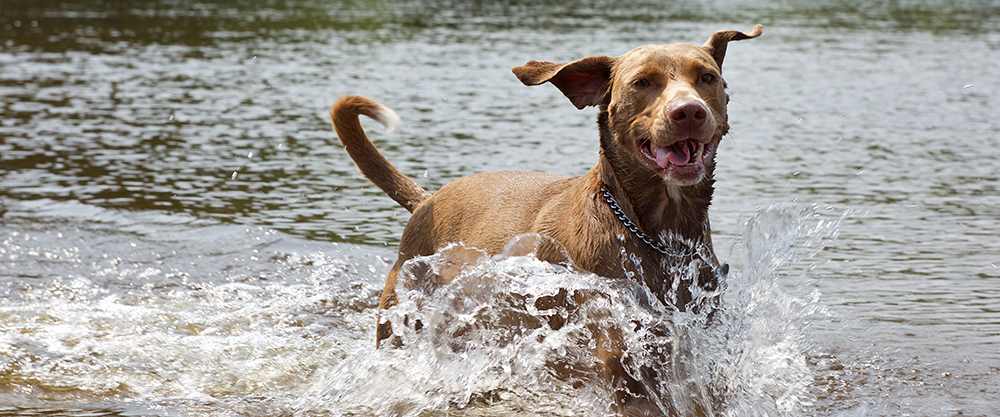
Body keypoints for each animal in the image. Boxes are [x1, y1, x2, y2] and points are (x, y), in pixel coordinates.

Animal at [332, 25, 760, 412]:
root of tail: (427, 200)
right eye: (642, 82)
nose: (688, 111)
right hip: (402, 319)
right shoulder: (621, 360)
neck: (657, 232)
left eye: (706, 77)